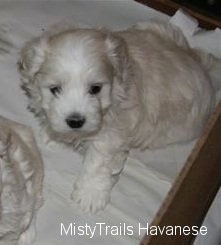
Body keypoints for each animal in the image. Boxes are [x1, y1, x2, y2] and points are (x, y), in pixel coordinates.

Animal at [18, 21, 220, 212]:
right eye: (55, 89)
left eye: (95, 89)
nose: (75, 121)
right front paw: (54, 136)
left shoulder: (114, 133)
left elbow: (98, 162)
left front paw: (90, 194)